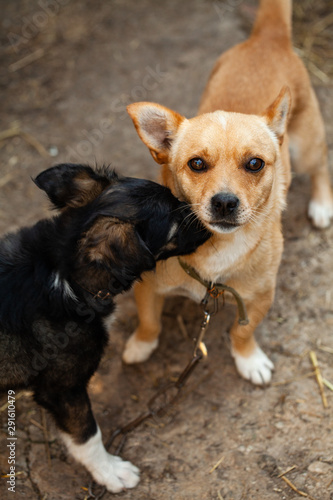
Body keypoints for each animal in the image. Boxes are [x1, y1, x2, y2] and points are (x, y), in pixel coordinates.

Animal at [0, 163, 210, 492]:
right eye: (175, 220)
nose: (217, 221)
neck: (66, 275)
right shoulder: (63, 388)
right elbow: (88, 434)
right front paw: (111, 472)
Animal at [122, 0, 332, 384]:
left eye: (255, 164)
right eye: (196, 164)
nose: (224, 202)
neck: (214, 250)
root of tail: (267, 37)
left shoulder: (260, 297)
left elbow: (242, 331)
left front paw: (248, 360)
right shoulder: (147, 287)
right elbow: (149, 321)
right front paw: (141, 345)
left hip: (306, 146)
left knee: (322, 165)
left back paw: (322, 204)